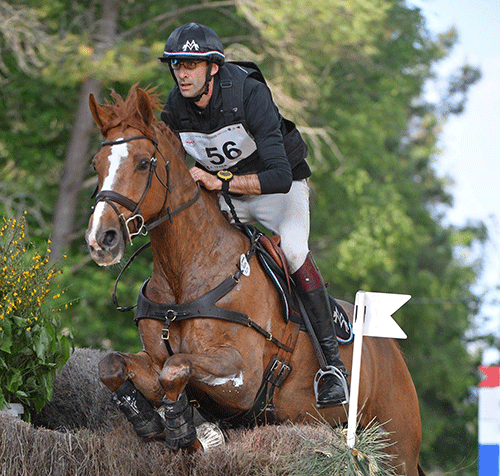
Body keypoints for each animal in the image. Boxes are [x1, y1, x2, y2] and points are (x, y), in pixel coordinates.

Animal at [86, 87, 422, 474]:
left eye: (144, 163)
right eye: (97, 165)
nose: (101, 239)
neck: (183, 273)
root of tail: (392, 351)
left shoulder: (241, 377)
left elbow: (176, 367)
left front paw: (183, 431)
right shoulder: (153, 360)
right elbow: (115, 365)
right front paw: (154, 423)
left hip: (398, 448)